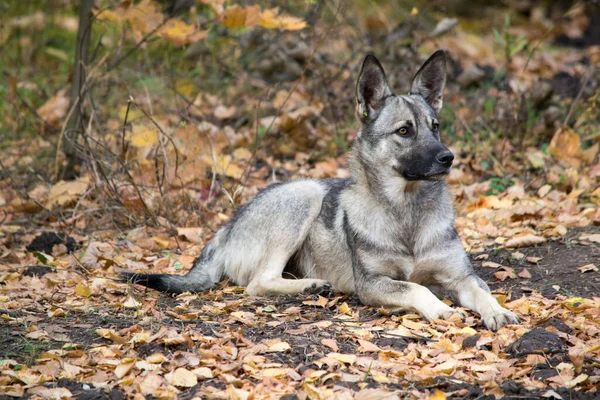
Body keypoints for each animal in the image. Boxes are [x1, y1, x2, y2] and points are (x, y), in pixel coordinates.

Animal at [119, 50, 516, 332]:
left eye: (435, 127)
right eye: (404, 131)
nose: (448, 157)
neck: (407, 211)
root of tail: (228, 227)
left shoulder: (461, 276)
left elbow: (481, 291)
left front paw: (497, 311)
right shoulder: (372, 284)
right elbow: (417, 288)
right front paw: (443, 309)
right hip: (305, 195)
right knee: (258, 283)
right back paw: (311, 285)